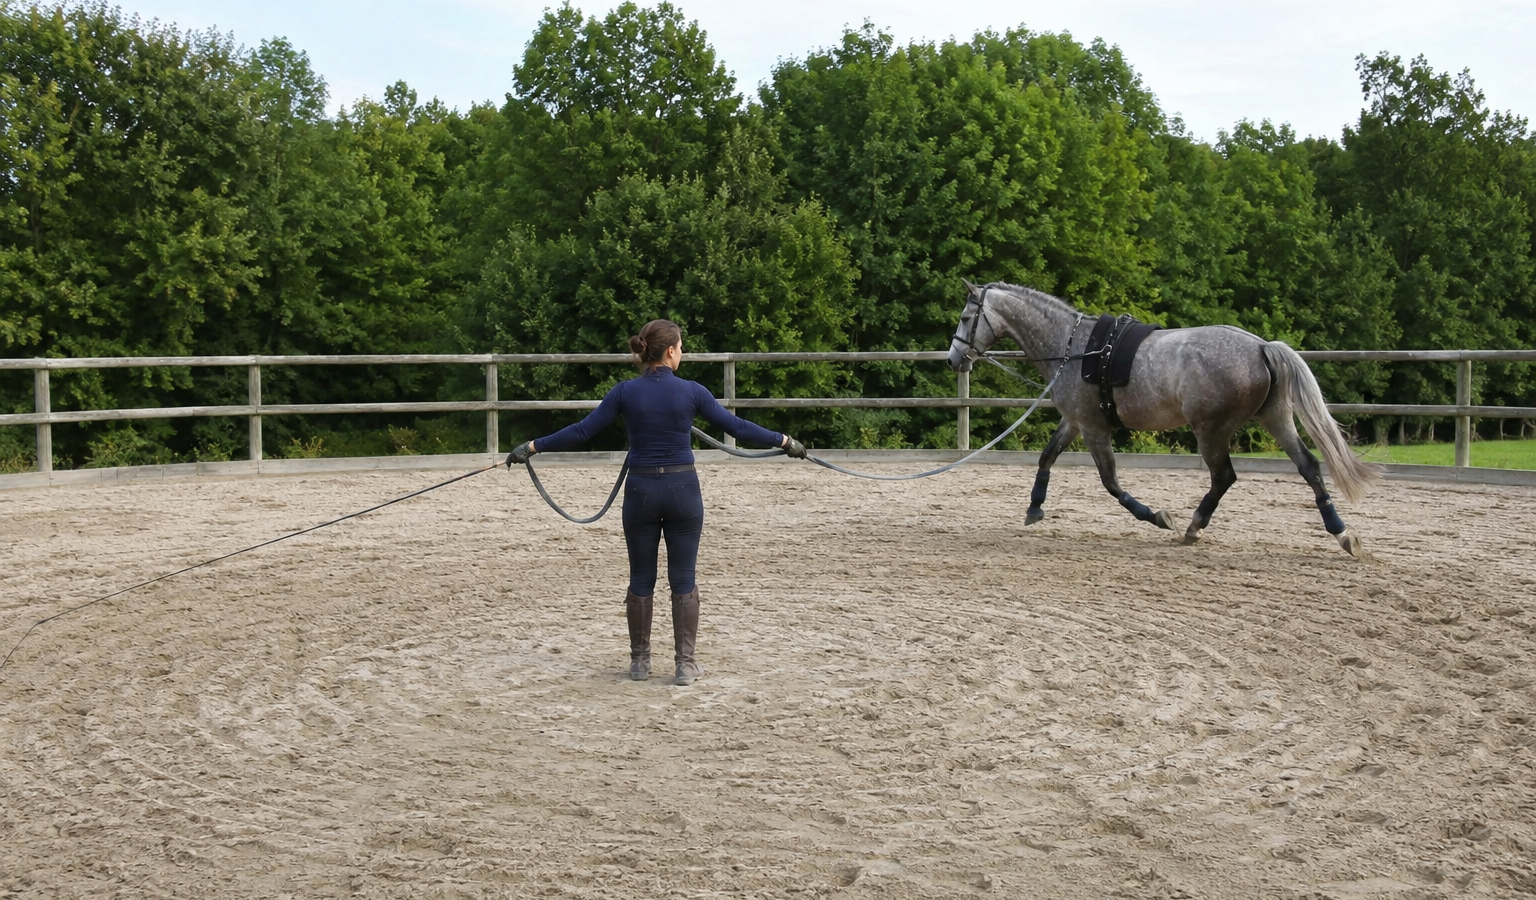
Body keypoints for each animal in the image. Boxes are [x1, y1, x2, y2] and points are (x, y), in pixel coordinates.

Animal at [947, 281, 1380, 555]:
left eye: (967, 318)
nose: (954, 359)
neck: (1075, 348)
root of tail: (1261, 347)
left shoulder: (1093, 428)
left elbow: (1111, 483)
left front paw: (1157, 516)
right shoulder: (1074, 421)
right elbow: (1046, 457)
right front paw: (1034, 508)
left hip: (1211, 430)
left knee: (1224, 477)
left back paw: (1192, 527)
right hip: (1275, 418)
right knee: (1308, 467)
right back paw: (1342, 534)